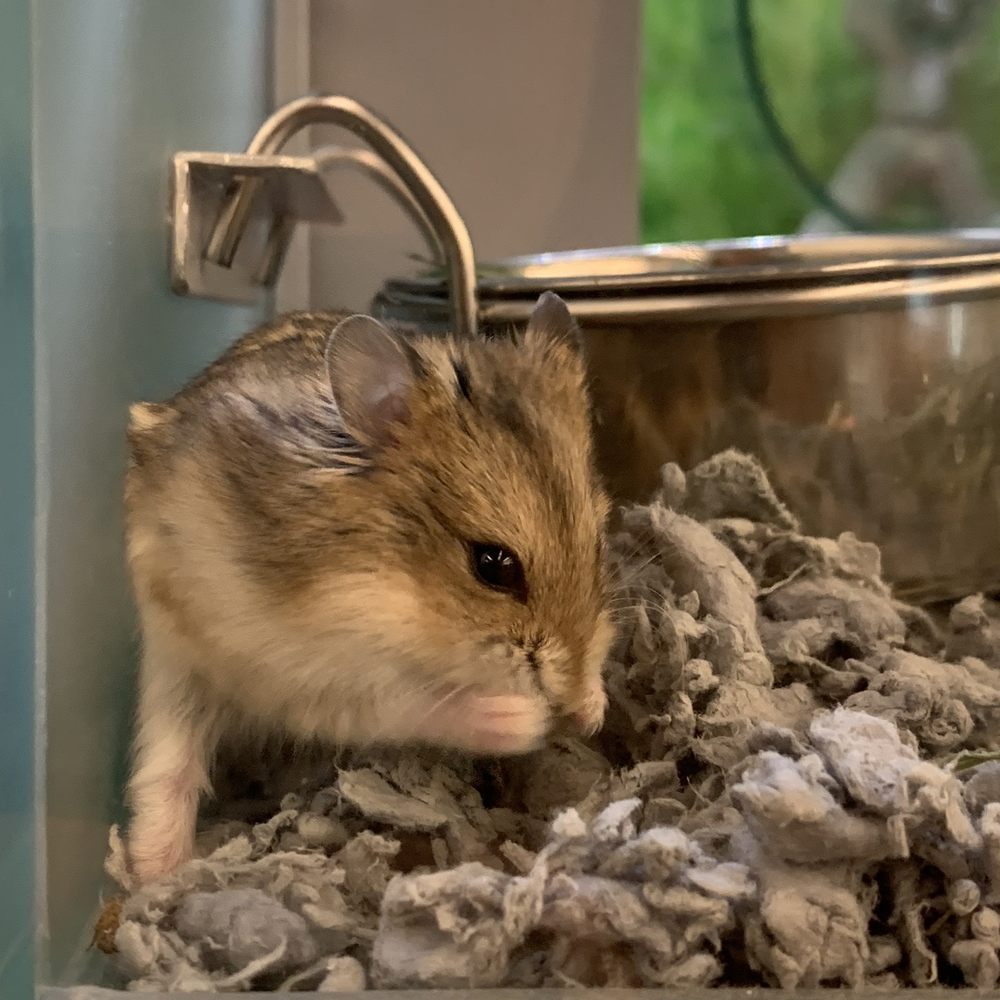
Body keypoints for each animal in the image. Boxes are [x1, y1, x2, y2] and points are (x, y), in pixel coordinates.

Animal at [124, 291, 614, 883]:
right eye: (493, 565)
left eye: (599, 544)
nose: (566, 699)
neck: (392, 589)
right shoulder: (310, 676)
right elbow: (414, 704)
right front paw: (524, 719)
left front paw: (592, 708)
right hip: (175, 665)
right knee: (167, 767)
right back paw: (155, 873)